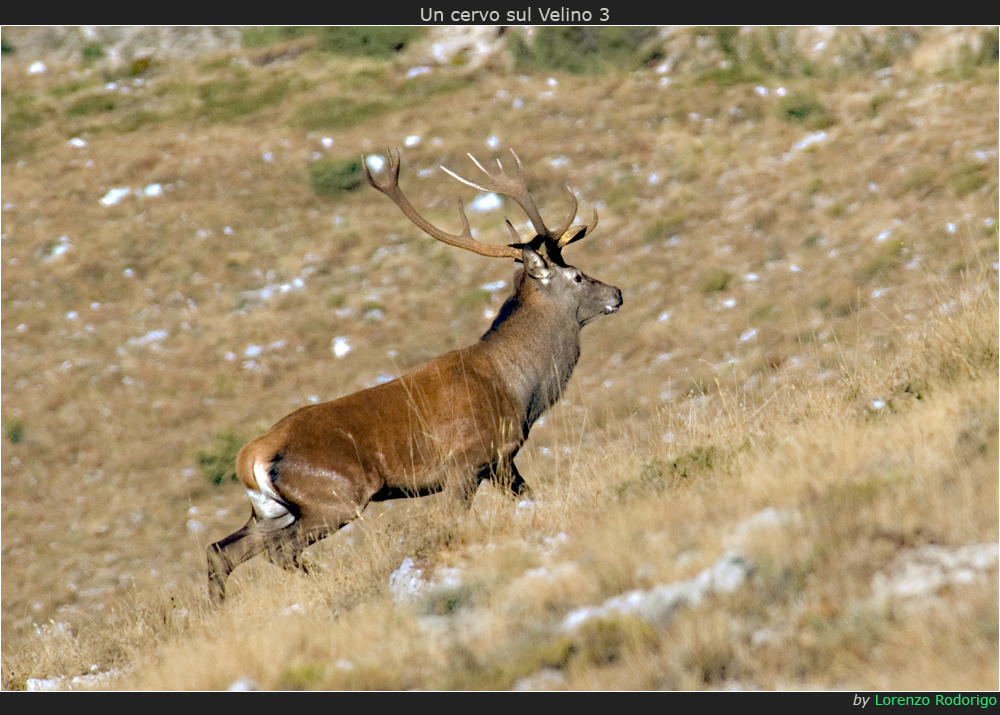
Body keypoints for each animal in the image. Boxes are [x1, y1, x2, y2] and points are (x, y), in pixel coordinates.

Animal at [207, 150, 620, 604]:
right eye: (577, 275)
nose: (617, 293)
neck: (519, 389)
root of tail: (251, 457)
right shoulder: (464, 462)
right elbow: (453, 521)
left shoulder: (500, 461)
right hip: (335, 497)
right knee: (279, 550)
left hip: (270, 511)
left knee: (221, 550)